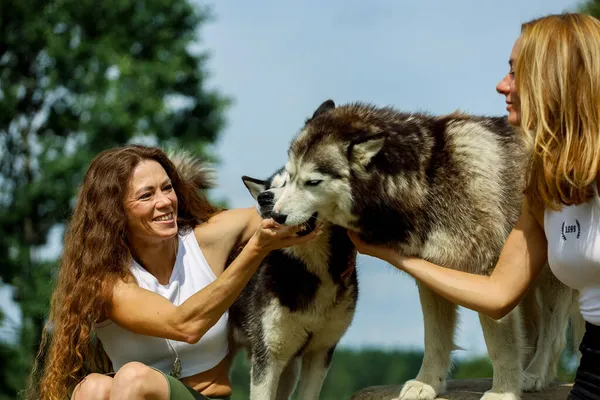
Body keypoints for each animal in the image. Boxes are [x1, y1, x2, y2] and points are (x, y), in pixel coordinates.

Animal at [225, 169, 356, 400]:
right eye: (272, 187)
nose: (264, 198)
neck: (310, 271)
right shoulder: (268, 354)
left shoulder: (320, 352)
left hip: (289, 370)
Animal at [268, 100, 576, 400]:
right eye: (289, 177)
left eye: (312, 182)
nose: (276, 216)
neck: (428, 178)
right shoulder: (435, 277)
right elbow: (435, 340)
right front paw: (427, 384)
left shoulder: (489, 276)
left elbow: (501, 346)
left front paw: (502, 393)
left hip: (551, 275)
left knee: (554, 333)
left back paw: (534, 375)